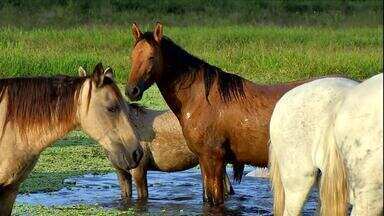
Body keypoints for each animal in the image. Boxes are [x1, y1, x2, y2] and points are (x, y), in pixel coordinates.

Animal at [126, 22, 308, 206]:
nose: (131, 91)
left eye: (151, 57)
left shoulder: (214, 159)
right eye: (132, 56)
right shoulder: (203, 160)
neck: (200, 100)